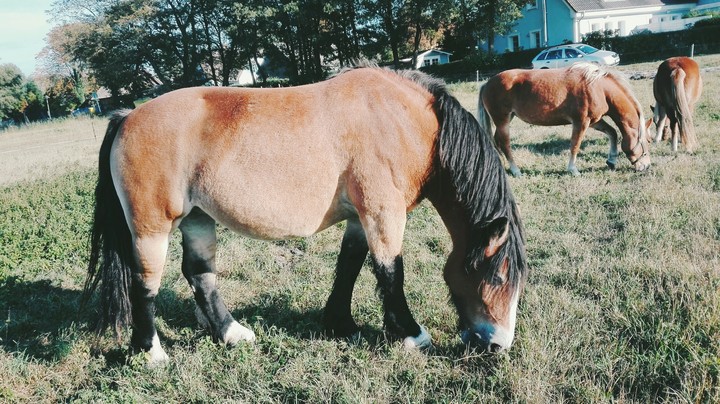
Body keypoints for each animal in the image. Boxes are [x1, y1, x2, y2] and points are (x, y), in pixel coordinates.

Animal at [83, 64, 528, 364]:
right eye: (497, 277)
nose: (497, 345)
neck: (405, 121)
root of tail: (127, 116)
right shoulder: (383, 213)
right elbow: (390, 272)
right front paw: (410, 335)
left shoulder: (360, 217)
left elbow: (351, 264)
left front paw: (340, 324)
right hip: (151, 229)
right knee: (144, 285)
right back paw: (152, 352)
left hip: (197, 219)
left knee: (200, 275)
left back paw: (232, 333)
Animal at [477, 63, 651, 177]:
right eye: (646, 143)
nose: (647, 166)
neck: (598, 87)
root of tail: (487, 83)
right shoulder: (581, 122)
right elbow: (575, 145)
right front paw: (573, 170)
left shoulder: (594, 121)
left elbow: (612, 133)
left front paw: (612, 160)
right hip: (503, 121)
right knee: (505, 144)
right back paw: (516, 170)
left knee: (497, 141)